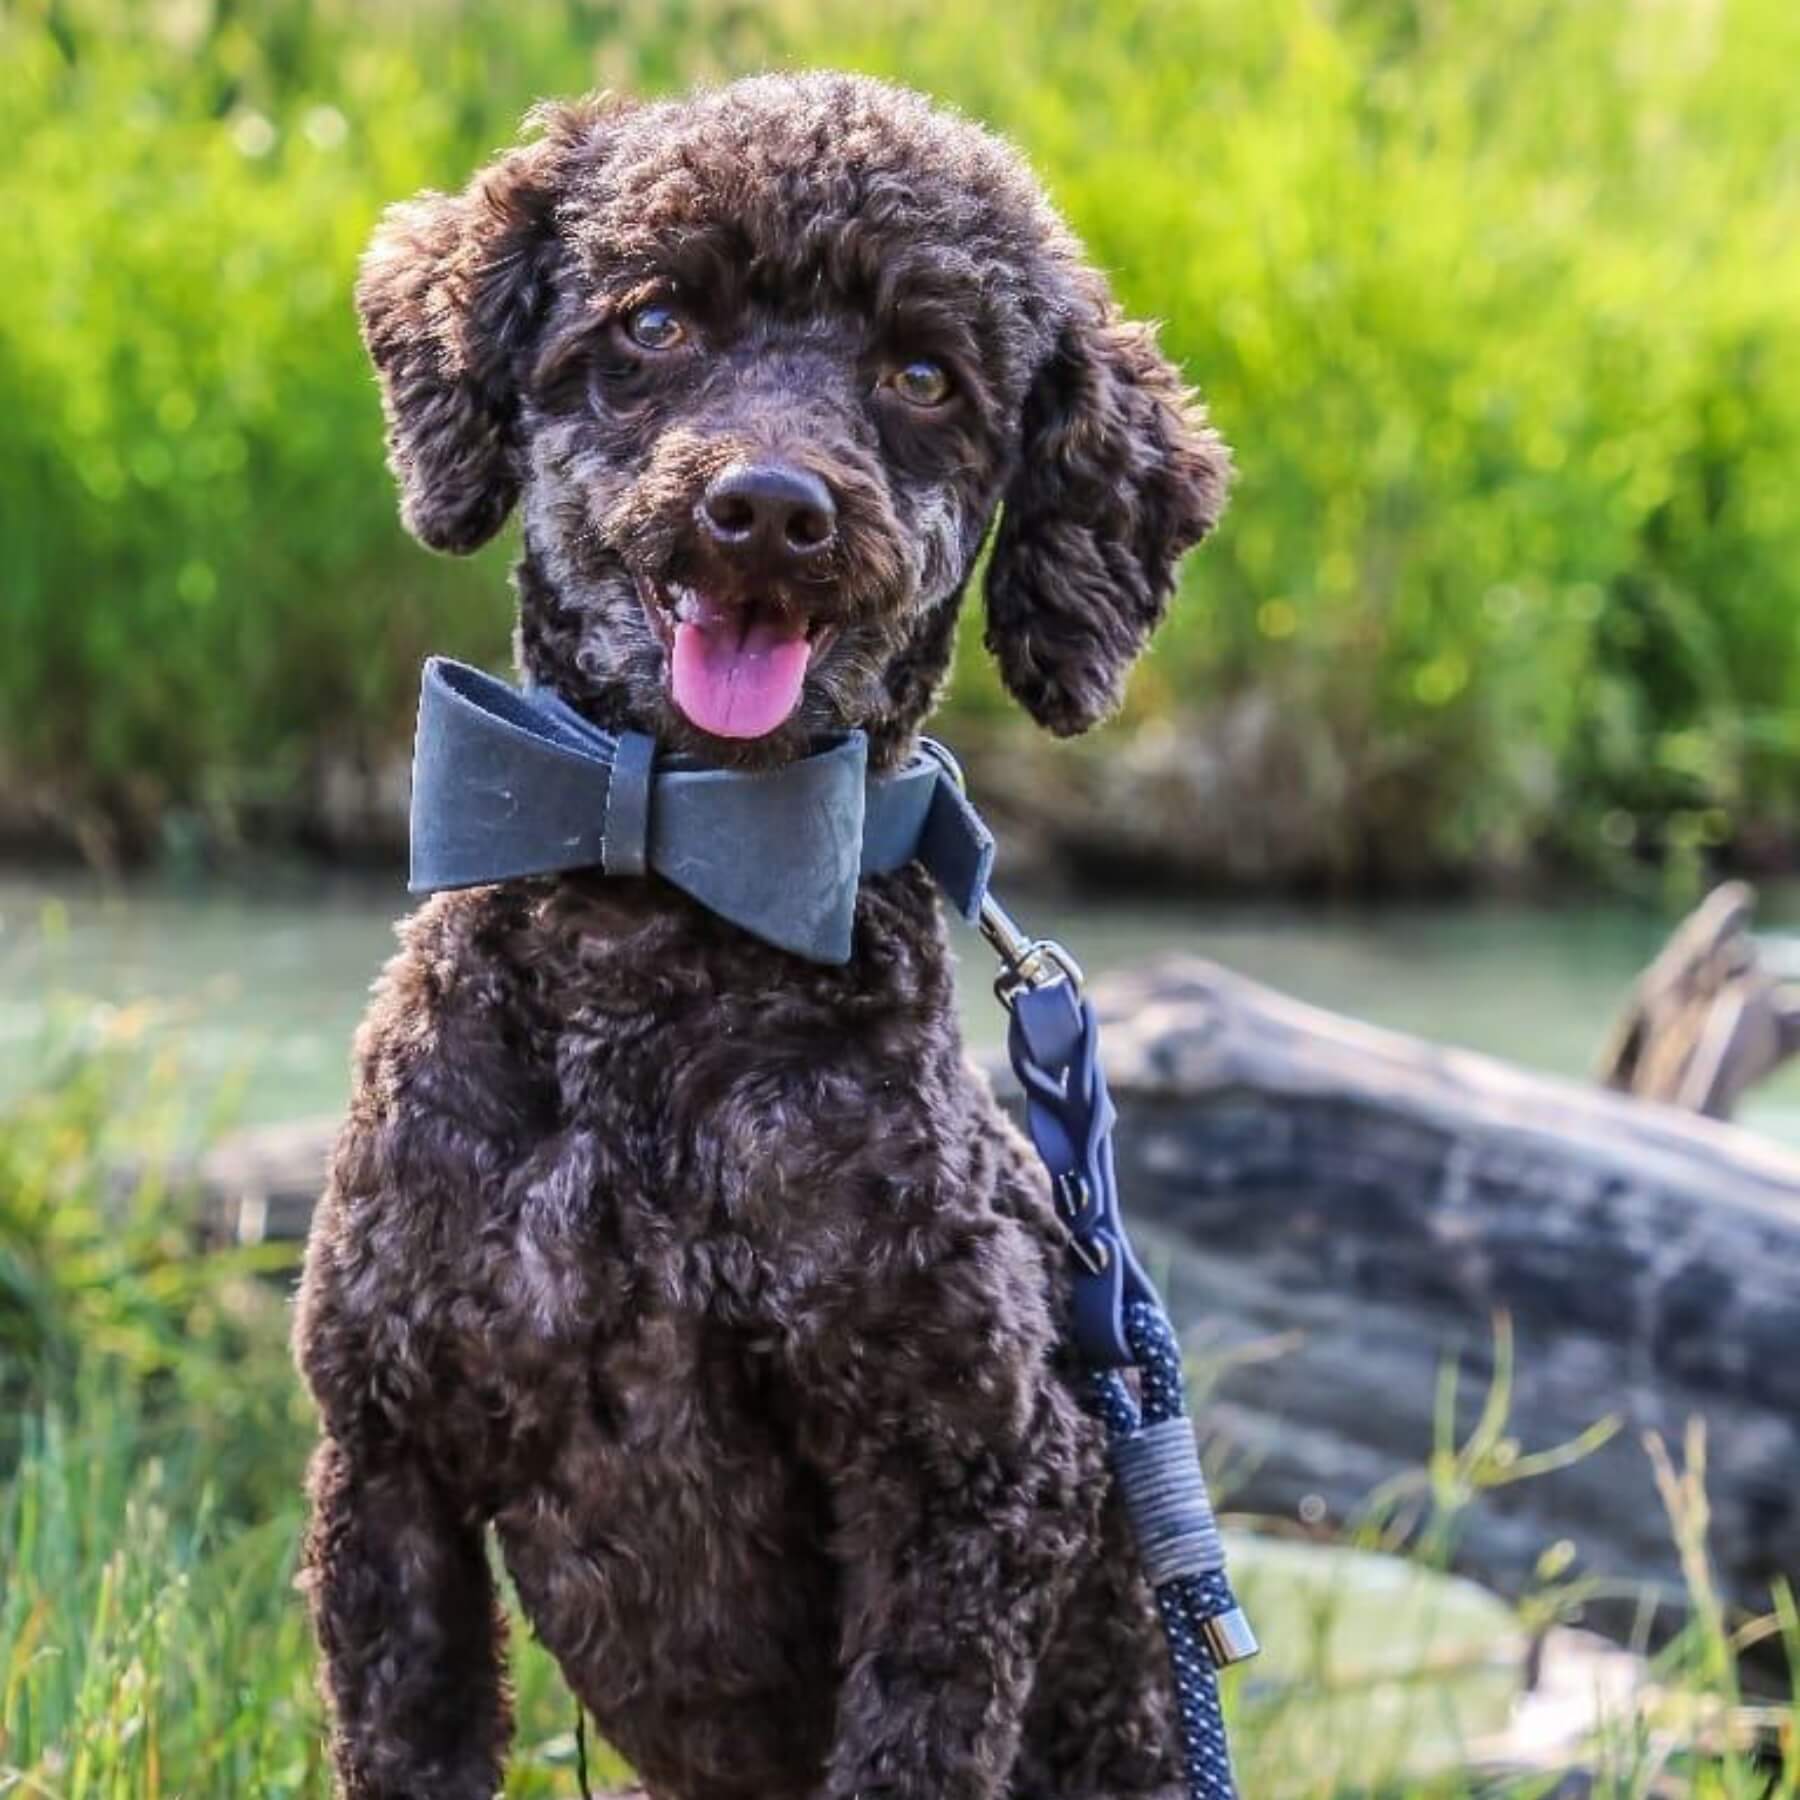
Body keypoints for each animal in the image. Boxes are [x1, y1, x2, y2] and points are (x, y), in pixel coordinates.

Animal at [295, 70, 1231, 1800]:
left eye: (923, 373)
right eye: (657, 319)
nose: (769, 511)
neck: (669, 889)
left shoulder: (973, 1485)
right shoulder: (387, 1460)